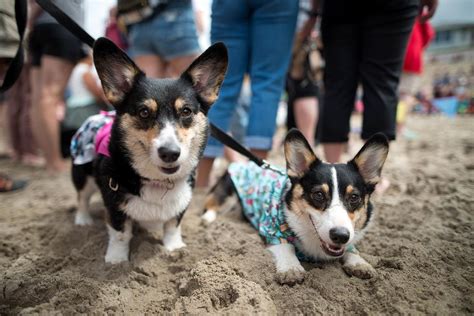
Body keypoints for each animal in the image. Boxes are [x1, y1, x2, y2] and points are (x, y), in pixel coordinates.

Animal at [70, 37, 228, 264]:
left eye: (186, 111)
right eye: (144, 112)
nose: (170, 153)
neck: (157, 181)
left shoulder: (180, 206)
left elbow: (172, 226)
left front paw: (174, 249)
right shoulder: (114, 205)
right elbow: (120, 234)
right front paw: (116, 260)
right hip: (82, 174)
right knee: (82, 197)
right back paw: (83, 220)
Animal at [201, 128, 388, 282]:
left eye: (354, 197)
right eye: (318, 195)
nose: (340, 236)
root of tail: (244, 162)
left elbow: (351, 249)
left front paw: (359, 263)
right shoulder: (272, 231)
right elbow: (286, 247)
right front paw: (291, 269)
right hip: (227, 190)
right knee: (212, 203)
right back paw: (208, 218)